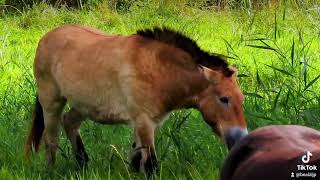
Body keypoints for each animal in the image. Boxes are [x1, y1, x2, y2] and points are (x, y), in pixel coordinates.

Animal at [25, 25, 248, 174]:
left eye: (241, 99)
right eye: (224, 99)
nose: (240, 138)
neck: (158, 69)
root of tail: (47, 37)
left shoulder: (147, 124)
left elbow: (136, 159)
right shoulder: (143, 121)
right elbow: (150, 165)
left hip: (83, 106)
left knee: (70, 123)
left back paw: (83, 164)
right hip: (51, 103)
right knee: (51, 141)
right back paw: (51, 170)